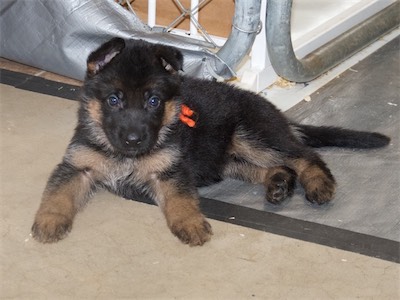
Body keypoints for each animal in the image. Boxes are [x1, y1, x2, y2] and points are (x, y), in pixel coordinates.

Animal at [32, 37, 390, 245]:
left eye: (153, 101)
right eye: (113, 100)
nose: (134, 140)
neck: (123, 155)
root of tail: (277, 113)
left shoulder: (170, 171)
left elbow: (180, 200)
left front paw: (190, 223)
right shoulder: (77, 167)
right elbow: (58, 194)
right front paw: (49, 220)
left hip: (250, 136)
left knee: (304, 155)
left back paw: (317, 184)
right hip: (229, 158)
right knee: (277, 166)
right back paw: (278, 183)